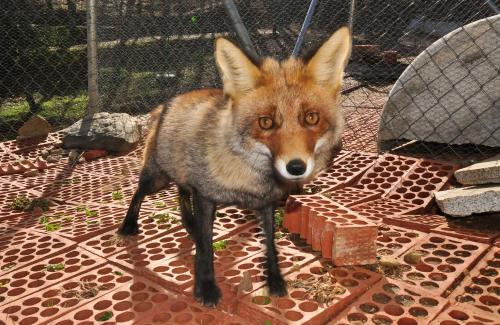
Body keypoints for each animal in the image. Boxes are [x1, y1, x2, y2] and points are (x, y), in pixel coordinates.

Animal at [118, 26, 352, 306]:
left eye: (311, 118)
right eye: (265, 122)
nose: (296, 167)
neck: (250, 177)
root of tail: (168, 103)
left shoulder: (265, 202)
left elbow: (270, 246)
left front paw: (275, 281)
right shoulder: (205, 196)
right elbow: (206, 249)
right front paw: (206, 287)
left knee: (181, 192)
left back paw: (188, 223)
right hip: (157, 178)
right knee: (139, 192)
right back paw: (129, 225)